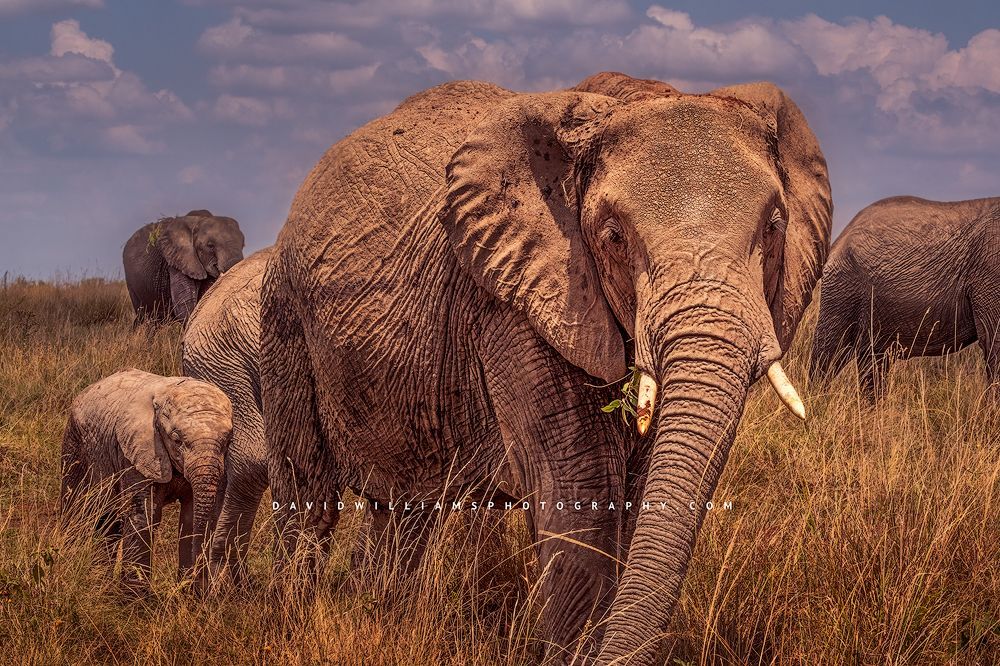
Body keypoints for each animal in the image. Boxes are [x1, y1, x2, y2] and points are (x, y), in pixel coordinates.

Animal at [60, 369, 232, 592]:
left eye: (227, 440)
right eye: (176, 439)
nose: (201, 585)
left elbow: (190, 516)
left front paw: (188, 593)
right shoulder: (137, 451)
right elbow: (146, 514)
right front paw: (136, 597)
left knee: (109, 520)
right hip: (75, 444)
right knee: (77, 509)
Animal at [258, 71, 831, 663]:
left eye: (775, 226)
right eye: (613, 236)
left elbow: (637, 495)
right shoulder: (516, 306)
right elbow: (580, 495)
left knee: (402, 511)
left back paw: (381, 616)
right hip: (284, 319)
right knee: (310, 499)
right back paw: (290, 618)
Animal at [810, 195, 1000, 401]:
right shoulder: (990, 270)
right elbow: (994, 342)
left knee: (873, 360)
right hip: (843, 288)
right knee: (830, 351)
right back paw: (816, 401)